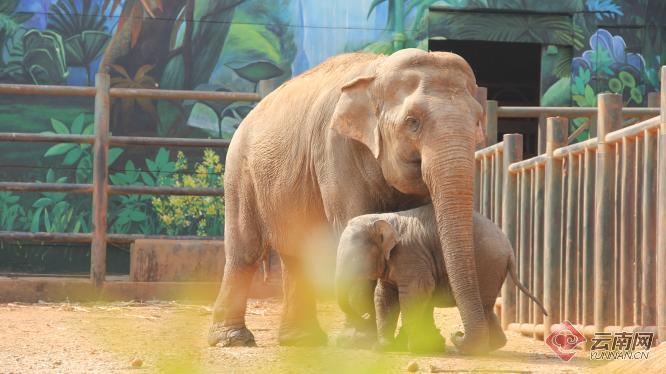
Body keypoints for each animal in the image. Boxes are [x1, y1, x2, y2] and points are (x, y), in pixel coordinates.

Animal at [210, 48, 486, 352]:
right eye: (412, 122)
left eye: (478, 120)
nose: (459, 336)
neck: (377, 71)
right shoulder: (336, 149)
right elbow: (352, 220)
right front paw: (360, 341)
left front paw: (424, 342)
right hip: (240, 169)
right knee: (246, 250)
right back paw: (233, 339)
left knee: (295, 256)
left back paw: (301, 340)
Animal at [334, 205, 548, 354]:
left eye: (353, 260)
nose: (363, 316)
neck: (383, 219)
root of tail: (510, 250)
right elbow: (384, 297)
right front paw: (383, 349)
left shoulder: (411, 256)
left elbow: (415, 293)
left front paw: (414, 349)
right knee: (487, 308)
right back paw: (490, 346)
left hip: (487, 265)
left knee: (482, 305)